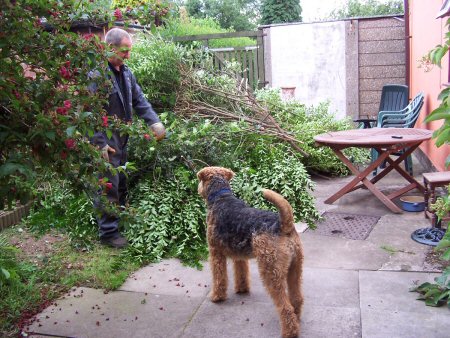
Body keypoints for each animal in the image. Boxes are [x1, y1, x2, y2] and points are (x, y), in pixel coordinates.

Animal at [196, 166, 302, 338]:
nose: (197, 189)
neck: (221, 196)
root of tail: (284, 225)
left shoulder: (215, 253)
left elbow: (219, 277)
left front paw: (217, 296)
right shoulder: (239, 256)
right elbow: (241, 273)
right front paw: (242, 289)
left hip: (271, 270)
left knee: (284, 306)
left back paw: (289, 331)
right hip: (295, 268)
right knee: (296, 298)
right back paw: (297, 317)